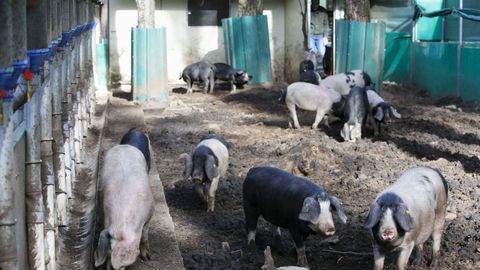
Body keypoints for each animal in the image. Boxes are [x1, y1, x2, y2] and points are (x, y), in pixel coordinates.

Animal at [94, 130, 153, 268]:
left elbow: (145, 236)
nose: (110, 268)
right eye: (108, 255)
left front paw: (147, 258)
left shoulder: (150, 214)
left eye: (121, 266)